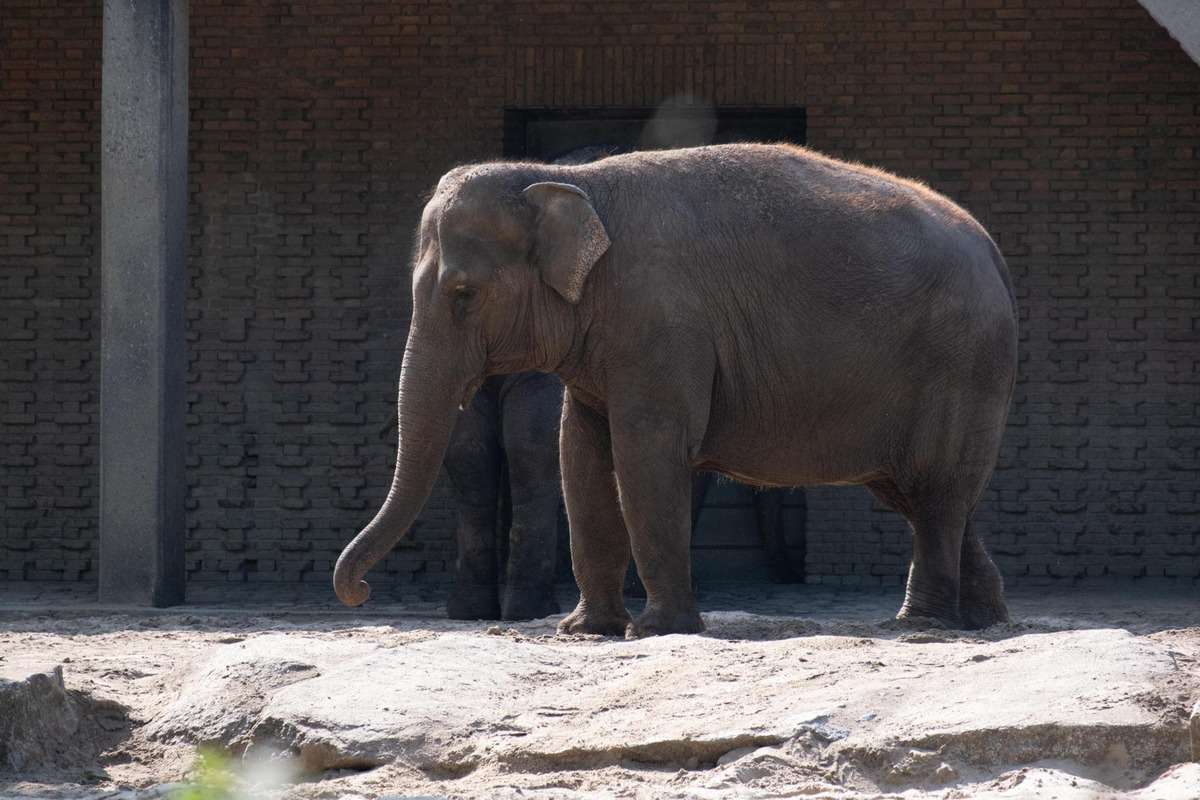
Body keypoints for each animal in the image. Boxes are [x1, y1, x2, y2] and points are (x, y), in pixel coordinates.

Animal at [334, 143, 1018, 637]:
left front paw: (656, 631)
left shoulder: (662, 320)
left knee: (935, 491)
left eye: (463, 294)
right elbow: (581, 454)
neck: (569, 181)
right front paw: (584, 632)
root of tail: (993, 250)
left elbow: (646, 451)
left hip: (962, 365)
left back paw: (922, 625)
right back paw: (984, 620)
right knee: (929, 496)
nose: (358, 593)